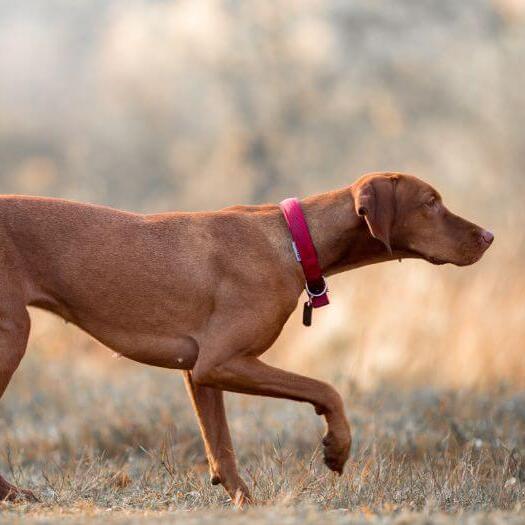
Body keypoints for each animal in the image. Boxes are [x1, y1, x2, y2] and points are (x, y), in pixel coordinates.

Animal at [0, 171, 492, 500]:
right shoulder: (221, 361)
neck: (293, 241)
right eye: (430, 202)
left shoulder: (198, 373)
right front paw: (337, 447)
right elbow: (326, 389)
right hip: (13, 335)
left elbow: (222, 449)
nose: (488, 235)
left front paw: (246, 504)